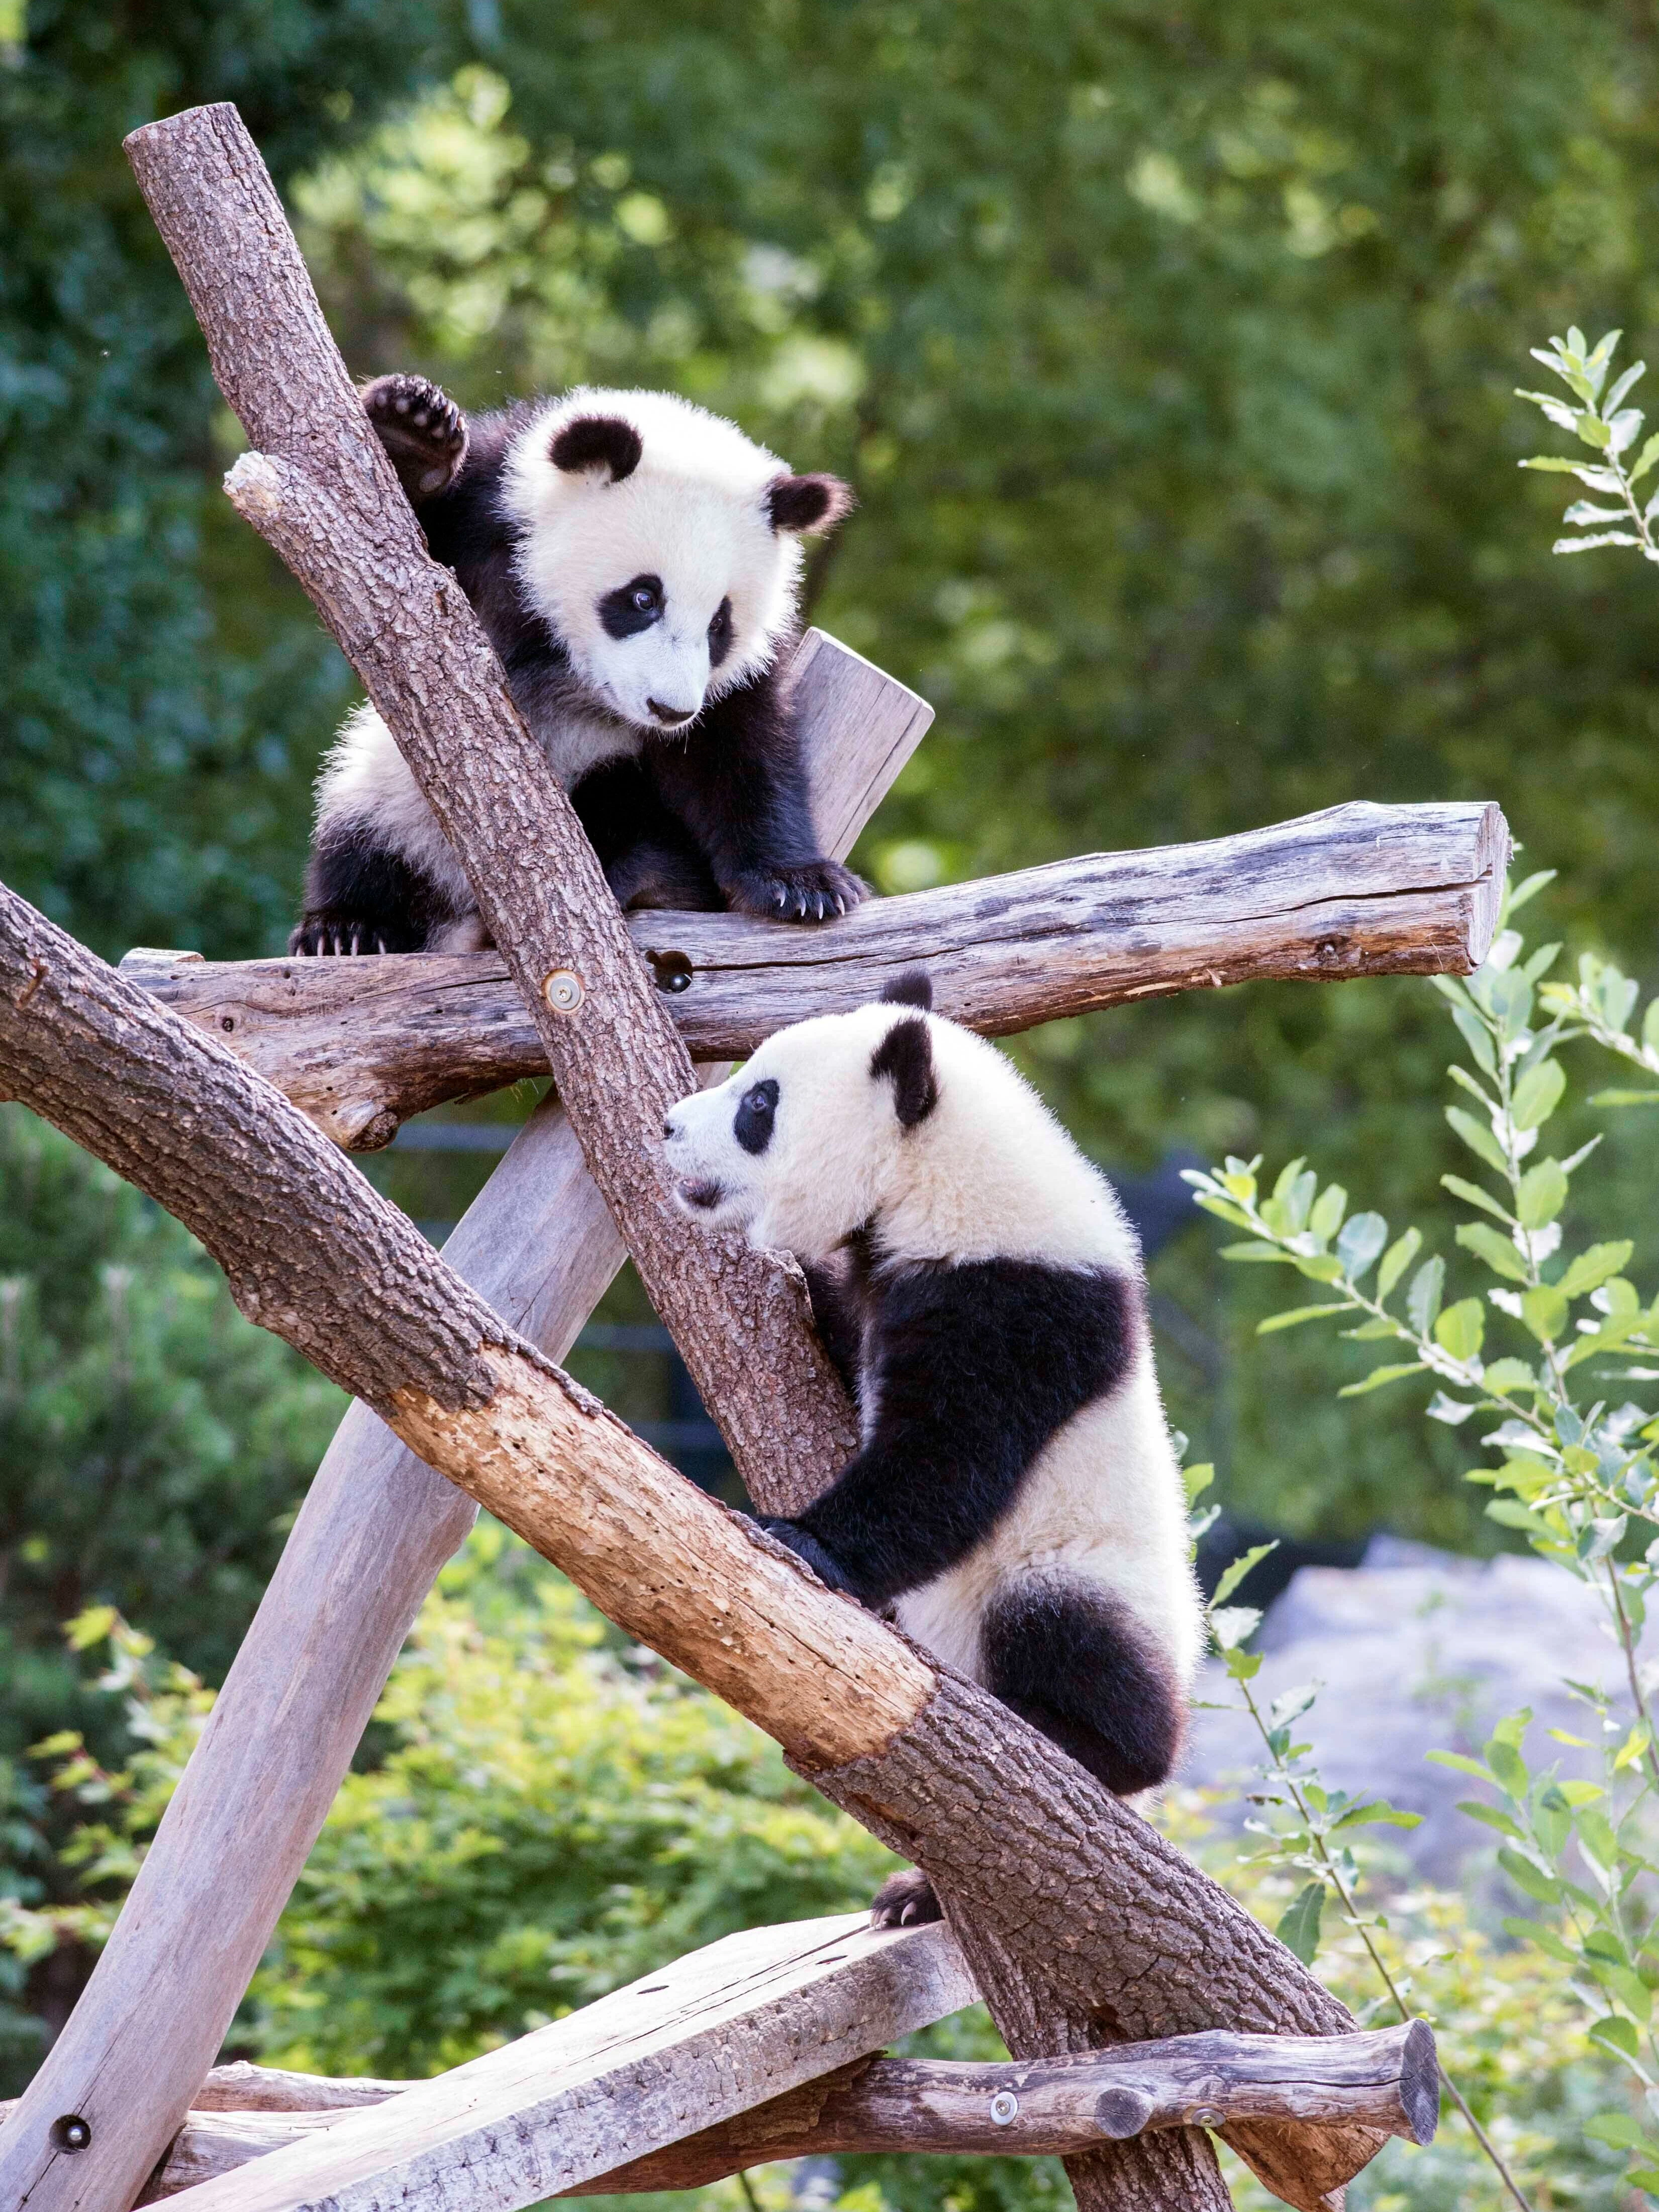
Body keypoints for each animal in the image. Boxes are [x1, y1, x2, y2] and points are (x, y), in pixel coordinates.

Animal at [290, 376, 864, 955]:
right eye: (643, 598)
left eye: (720, 624)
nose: (669, 710)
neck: (564, 658)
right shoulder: (492, 516)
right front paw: (415, 433)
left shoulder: (736, 676)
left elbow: (741, 751)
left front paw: (802, 885)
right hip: (392, 795)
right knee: (362, 839)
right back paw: (346, 928)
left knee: (624, 801)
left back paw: (637, 878)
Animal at [661, 972, 1204, 1925]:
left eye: (759, 1103)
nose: (665, 1127)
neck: (946, 1182)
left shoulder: (1018, 1309)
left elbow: (948, 1464)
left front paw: (799, 1538)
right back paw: (914, 1893)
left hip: (1094, 1571)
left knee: (1073, 1630)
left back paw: (1084, 1743)